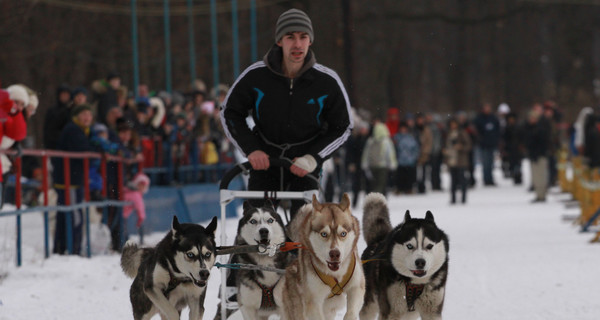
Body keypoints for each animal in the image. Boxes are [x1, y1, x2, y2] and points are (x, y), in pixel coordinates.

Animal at [358, 192, 448, 320]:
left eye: (429, 246)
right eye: (409, 246)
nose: (420, 262)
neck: (415, 284)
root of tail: (379, 240)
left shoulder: (432, 310)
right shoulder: (391, 310)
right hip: (371, 302)